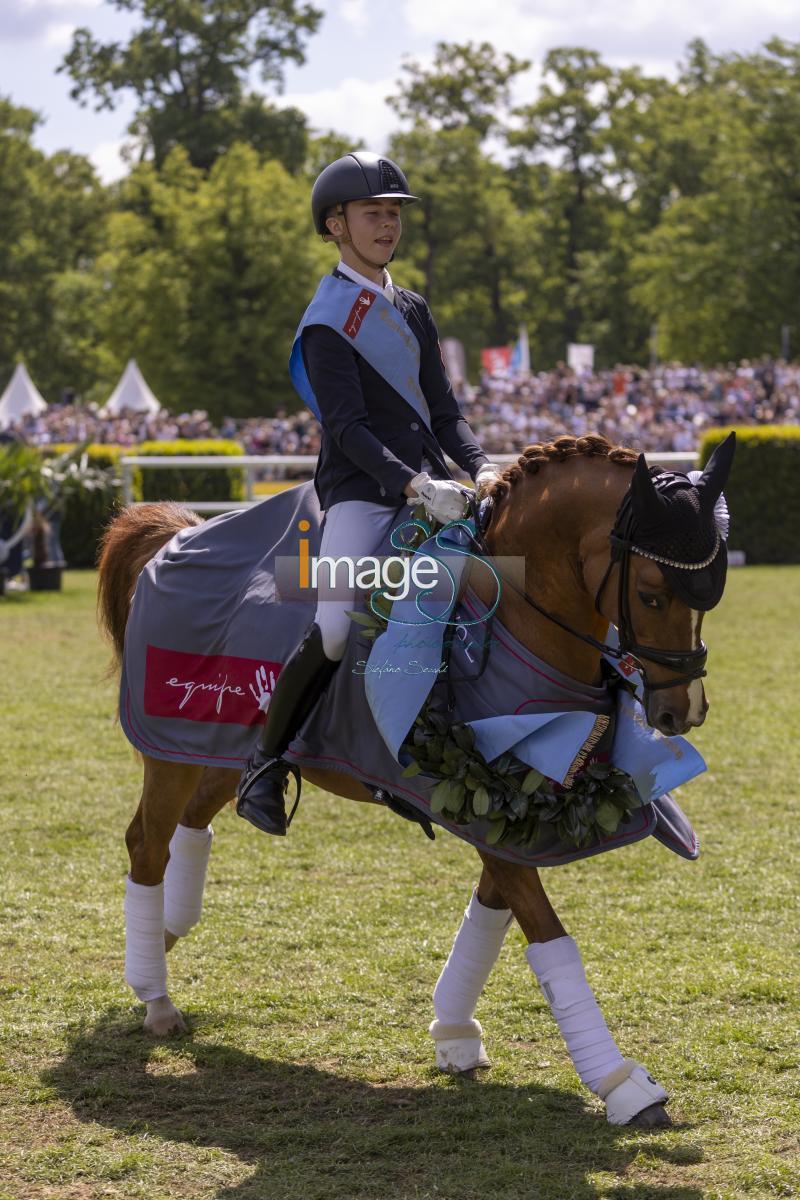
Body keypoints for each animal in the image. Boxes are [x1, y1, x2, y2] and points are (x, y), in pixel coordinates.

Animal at [98, 436, 724, 1128]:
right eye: (651, 594)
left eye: (708, 596)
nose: (682, 712)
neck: (507, 618)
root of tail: (179, 536)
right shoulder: (486, 802)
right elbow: (548, 936)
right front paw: (622, 1084)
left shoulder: (514, 810)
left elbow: (493, 913)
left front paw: (454, 1032)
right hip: (171, 752)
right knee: (146, 844)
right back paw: (155, 995)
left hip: (224, 750)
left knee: (199, 820)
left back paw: (164, 935)